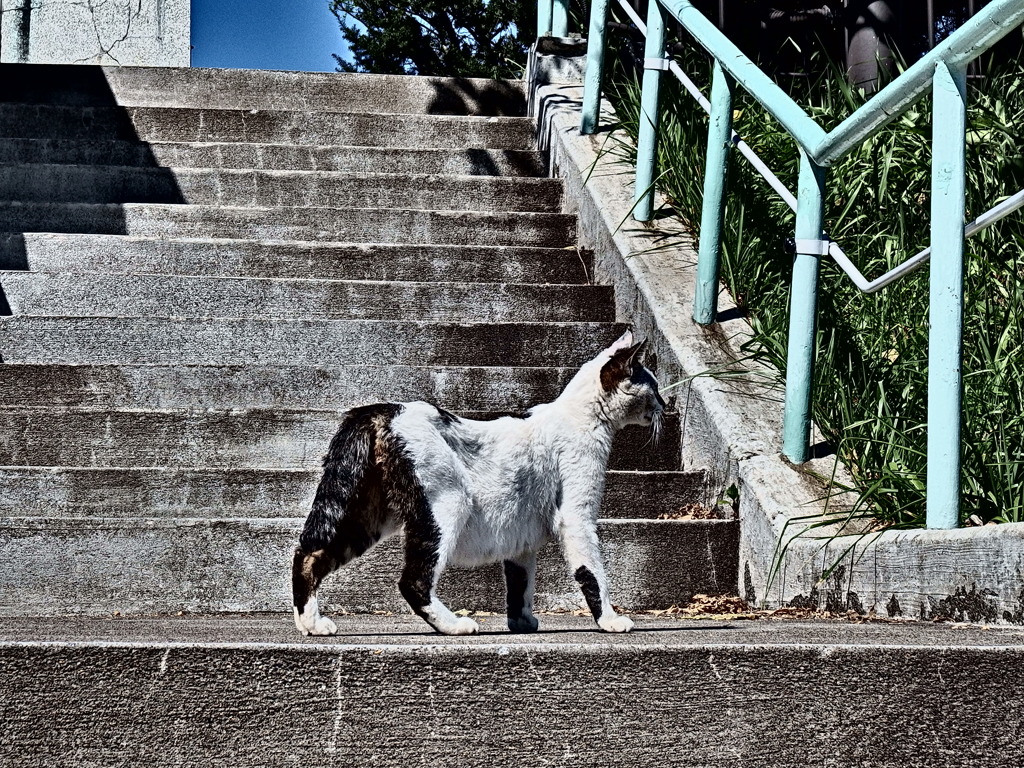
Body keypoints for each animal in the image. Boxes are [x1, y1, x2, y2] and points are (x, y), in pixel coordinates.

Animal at [292, 331, 667, 638]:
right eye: (654, 386)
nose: (667, 404)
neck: (582, 416)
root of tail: (382, 410)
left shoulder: (520, 534)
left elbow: (520, 584)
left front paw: (521, 623)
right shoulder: (577, 516)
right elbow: (593, 572)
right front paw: (610, 620)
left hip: (366, 514)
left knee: (309, 555)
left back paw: (311, 623)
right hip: (446, 505)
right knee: (413, 581)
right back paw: (455, 625)